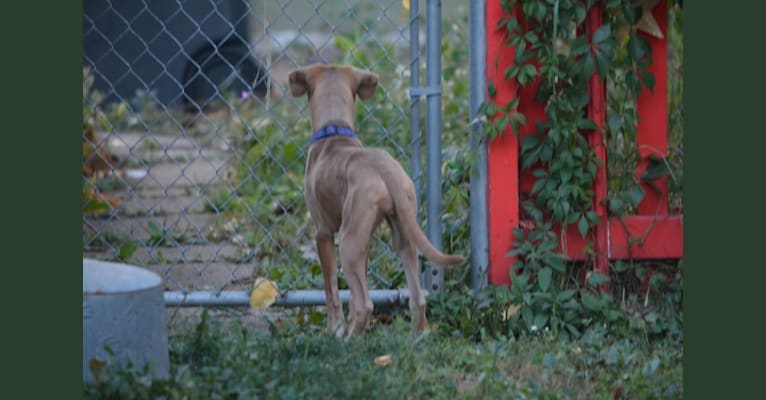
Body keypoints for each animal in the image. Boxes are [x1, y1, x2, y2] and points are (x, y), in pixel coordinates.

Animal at [290, 63, 464, 338]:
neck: (334, 130)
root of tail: (386, 169)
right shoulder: (366, 243)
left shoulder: (323, 232)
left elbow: (331, 290)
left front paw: (333, 329)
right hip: (402, 235)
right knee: (417, 298)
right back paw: (414, 336)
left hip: (348, 243)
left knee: (365, 304)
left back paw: (347, 340)